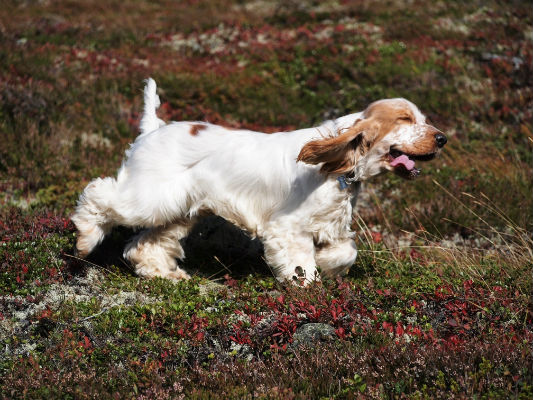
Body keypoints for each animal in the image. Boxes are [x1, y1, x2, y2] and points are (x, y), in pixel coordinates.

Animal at [71, 78, 444, 284]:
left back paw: (166, 275)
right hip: (148, 197)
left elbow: (344, 253)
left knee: (143, 244)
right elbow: (301, 265)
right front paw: (306, 286)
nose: (441, 138)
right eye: (405, 119)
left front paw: (328, 267)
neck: (337, 168)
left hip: (178, 212)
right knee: (97, 195)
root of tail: (153, 128)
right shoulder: (288, 228)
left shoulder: (332, 225)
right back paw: (85, 243)